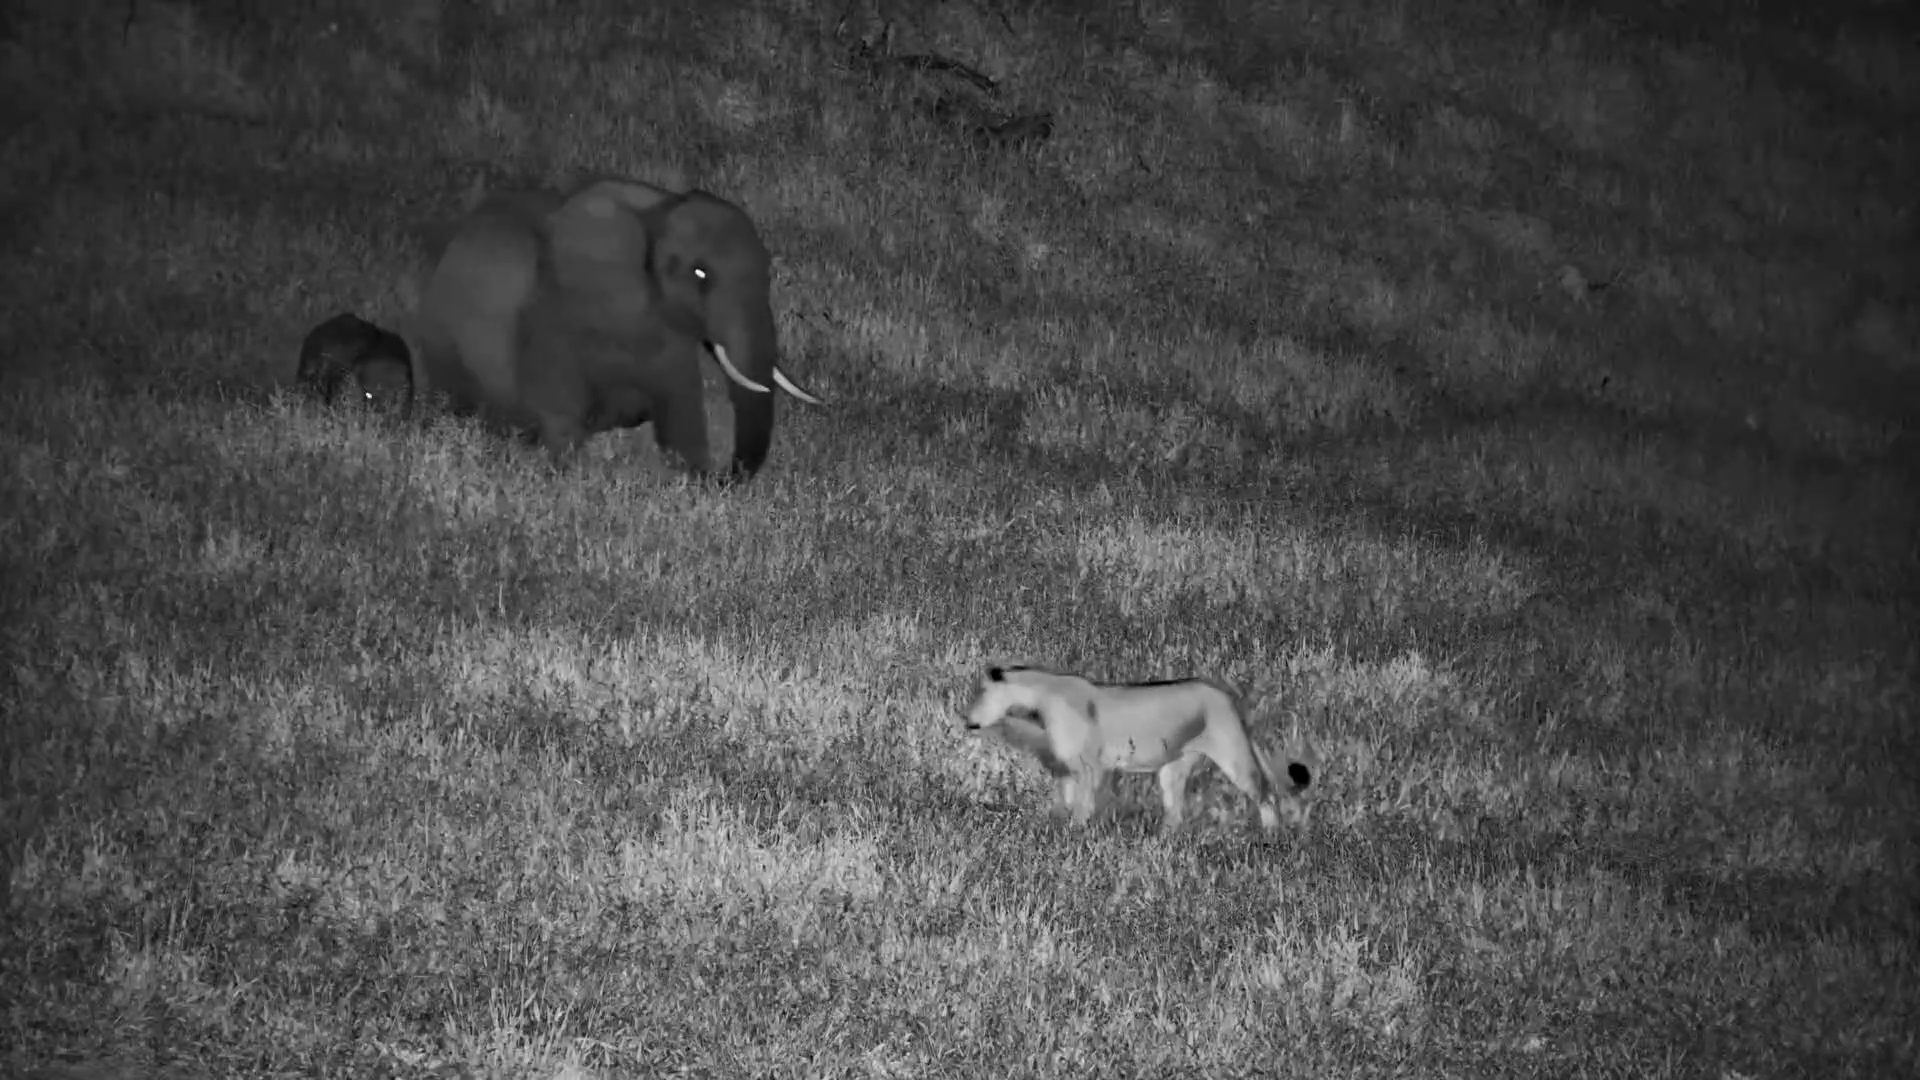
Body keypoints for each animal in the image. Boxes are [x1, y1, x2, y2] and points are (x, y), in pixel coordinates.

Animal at [963, 665, 1316, 835]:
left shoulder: (1090, 768)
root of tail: (1229, 697)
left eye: (981, 692)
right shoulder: (1068, 769)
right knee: (1175, 813)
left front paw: (1073, 837)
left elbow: (1081, 808)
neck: (1039, 696)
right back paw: (1161, 841)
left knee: (1266, 795)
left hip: (1234, 755)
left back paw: (1271, 837)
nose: (968, 720)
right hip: (1174, 767)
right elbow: (1065, 804)